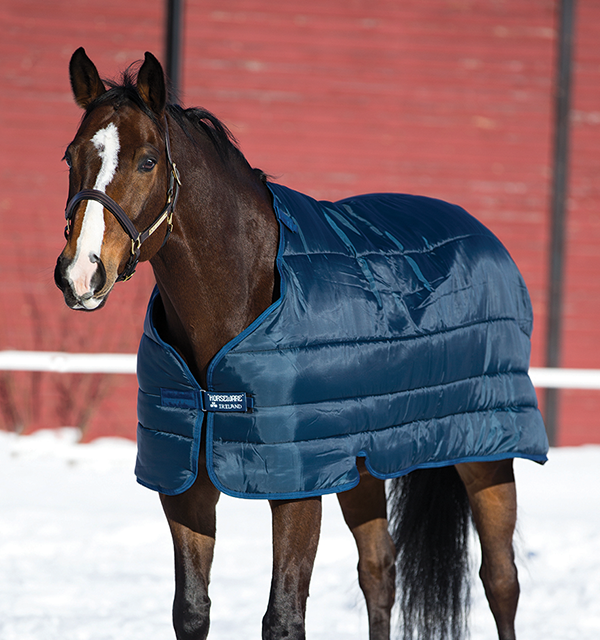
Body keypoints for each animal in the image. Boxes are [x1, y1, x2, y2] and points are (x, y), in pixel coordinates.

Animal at [55, 48, 548, 640]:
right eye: (70, 156)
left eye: (148, 161)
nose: (81, 274)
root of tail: (481, 233)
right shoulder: (185, 481)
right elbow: (192, 610)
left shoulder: (296, 487)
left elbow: (284, 617)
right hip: (361, 464)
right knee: (379, 572)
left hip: (488, 452)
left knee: (501, 580)